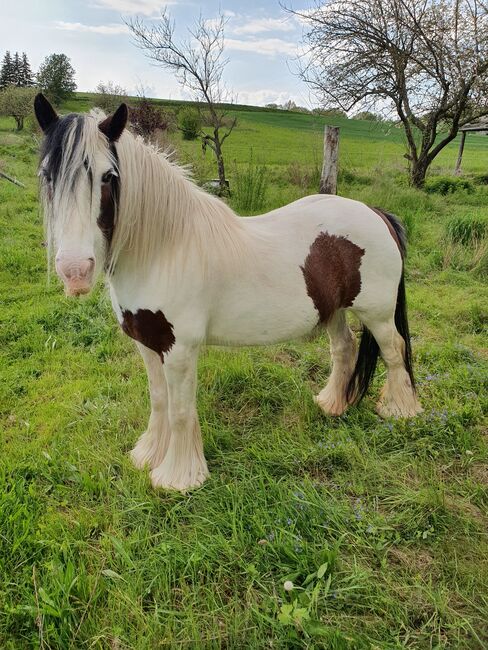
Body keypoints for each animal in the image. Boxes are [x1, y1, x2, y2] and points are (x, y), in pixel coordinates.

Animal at [35, 93, 424, 488]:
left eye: (108, 176)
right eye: (47, 175)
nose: (75, 271)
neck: (164, 249)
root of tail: (376, 213)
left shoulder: (178, 350)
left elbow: (180, 411)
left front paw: (178, 478)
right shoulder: (146, 343)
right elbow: (159, 401)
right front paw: (148, 456)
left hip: (377, 313)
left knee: (394, 350)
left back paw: (399, 410)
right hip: (334, 309)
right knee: (344, 348)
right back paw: (332, 404)